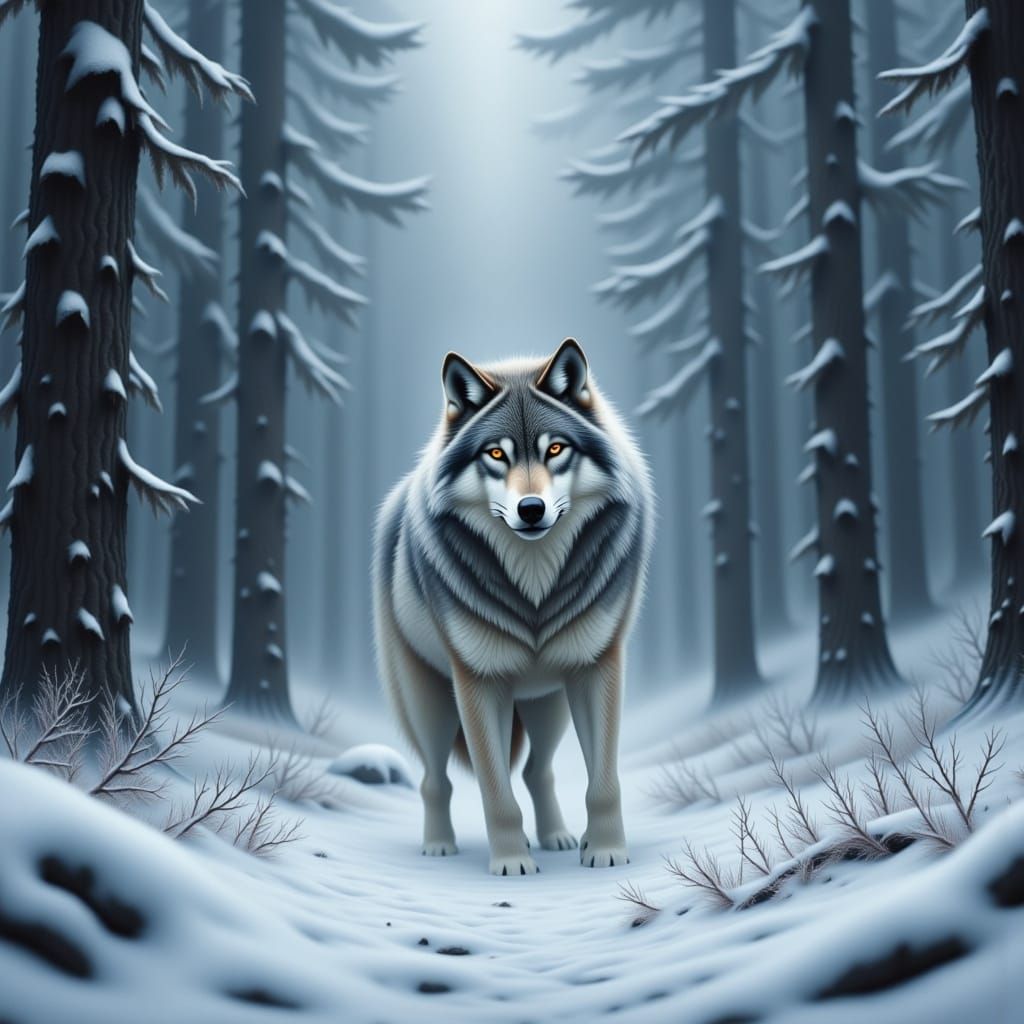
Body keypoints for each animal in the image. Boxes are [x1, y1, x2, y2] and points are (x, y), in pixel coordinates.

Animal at [372, 338, 653, 875]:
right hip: (432, 704)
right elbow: (494, 791)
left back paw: (559, 837)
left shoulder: (598, 668)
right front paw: (510, 862)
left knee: (536, 771)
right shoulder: (478, 682)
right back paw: (439, 845)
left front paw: (606, 851)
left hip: (548, 704)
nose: (531, 509)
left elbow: (603, 781)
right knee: (436, 779)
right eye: (497, 454)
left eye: (556, 449)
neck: (535, 585)